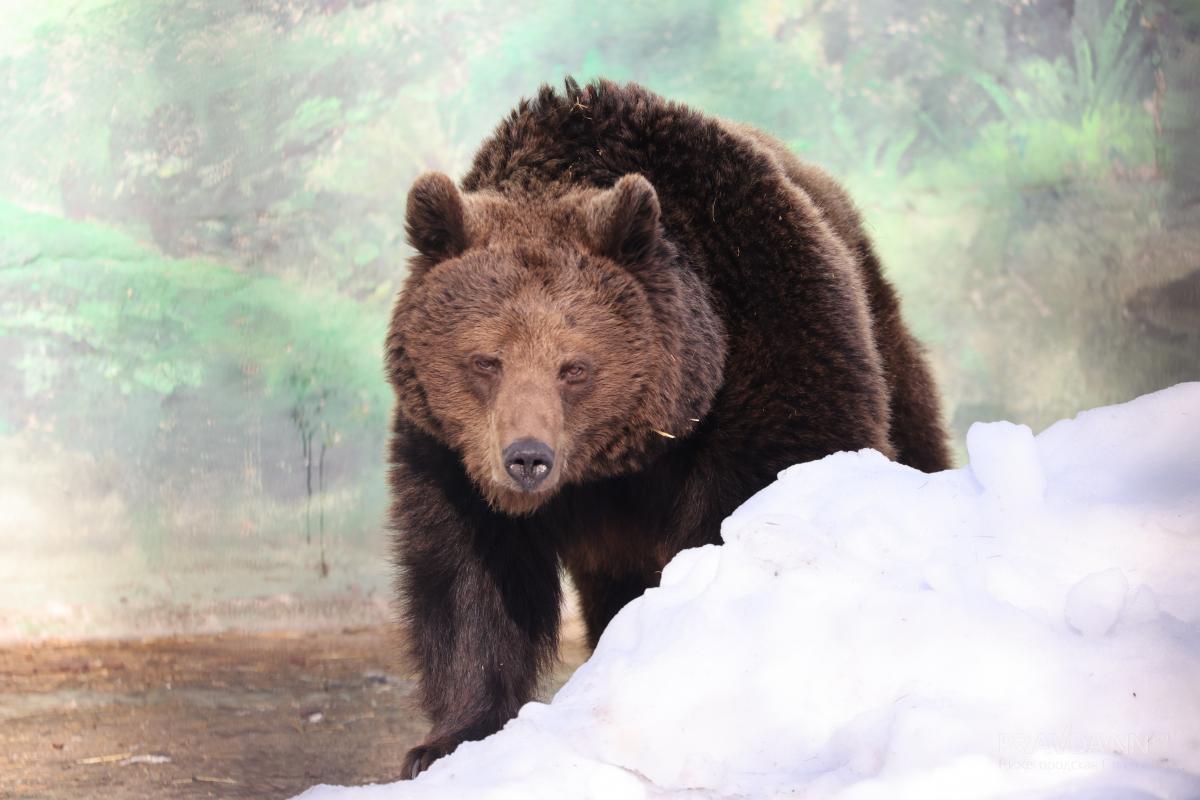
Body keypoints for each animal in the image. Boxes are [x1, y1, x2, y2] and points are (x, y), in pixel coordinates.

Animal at [381, 77, 945, 777]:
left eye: (574, 366)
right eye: (486, 360)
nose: (527, 458)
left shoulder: (769, 353)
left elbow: (750, 526)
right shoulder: (448, 452)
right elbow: (470, 576)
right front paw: (449, 739)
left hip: (885, 348)